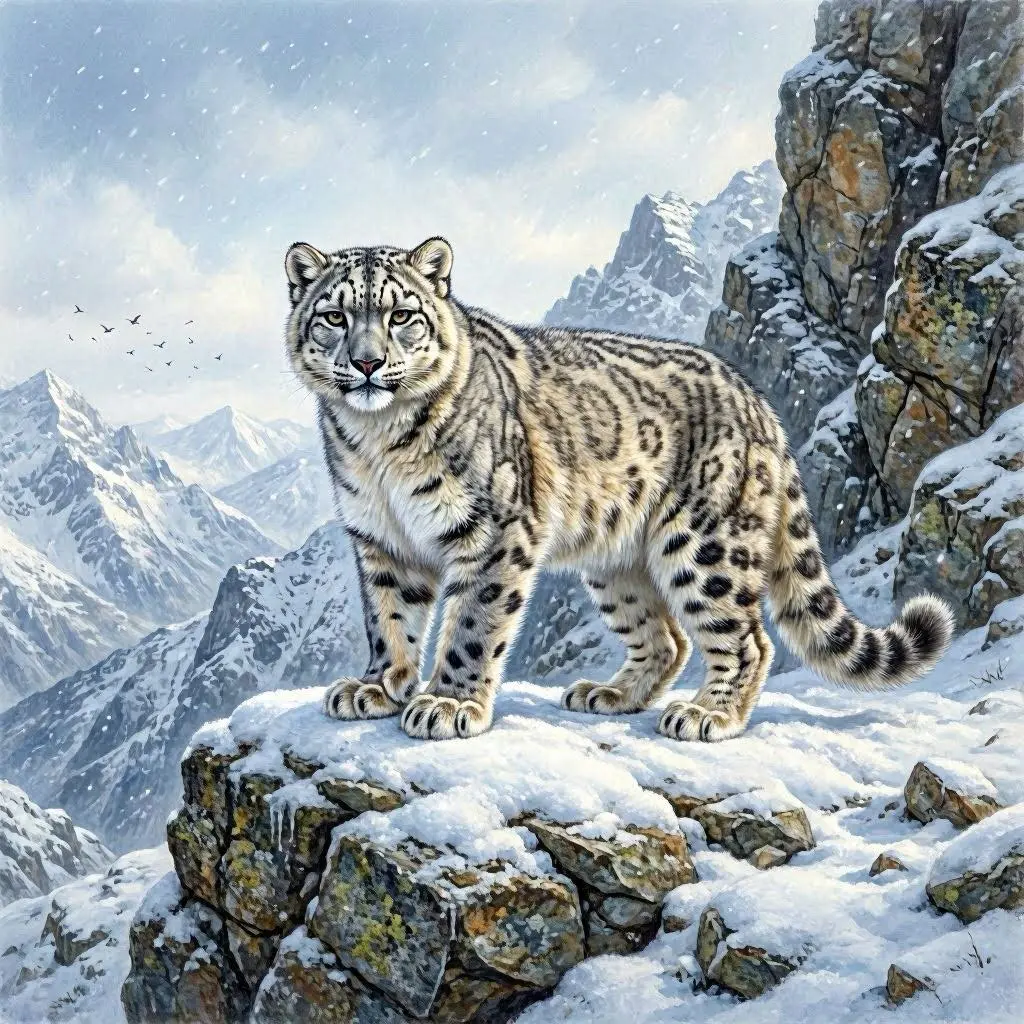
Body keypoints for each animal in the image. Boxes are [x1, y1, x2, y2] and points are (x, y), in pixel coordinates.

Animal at [284, 236, 954, 743]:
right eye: (334, 317)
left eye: (401, 315)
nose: (367, 363)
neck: (378, 443)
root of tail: (756, 400)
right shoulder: (381, 538)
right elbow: (390, 616)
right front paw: (376, 686)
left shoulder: (494, 532)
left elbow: (474, 622)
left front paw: (449, 703)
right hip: (616, 562)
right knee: (667, 638)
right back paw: (609, 693)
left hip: (706, 544)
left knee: (747, 639)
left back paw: (708, 714)